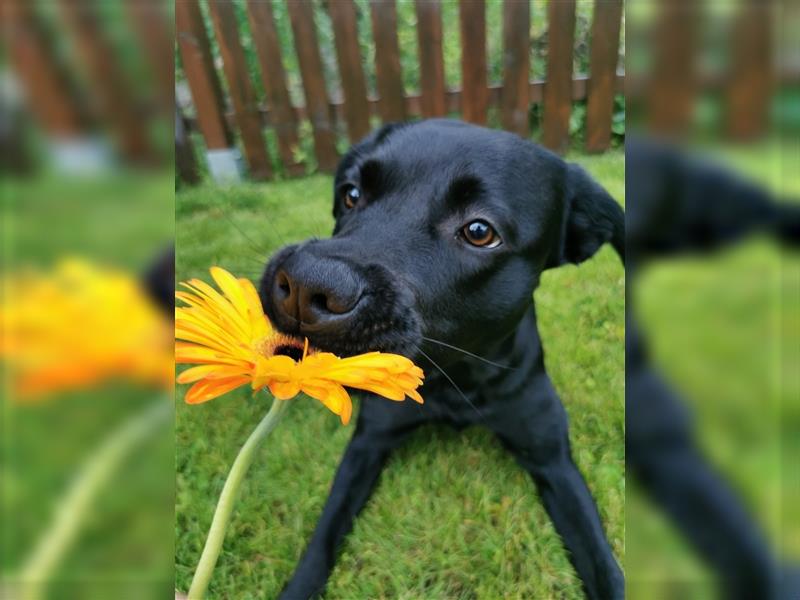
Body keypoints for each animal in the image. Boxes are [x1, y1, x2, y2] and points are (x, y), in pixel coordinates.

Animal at [260, 119, 628, 596]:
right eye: (351, 194)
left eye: (479, 231)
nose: (305, 286)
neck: (455, 378)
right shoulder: (368, 444)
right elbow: (323, 537)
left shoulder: (553, 459)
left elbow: (604, 565)